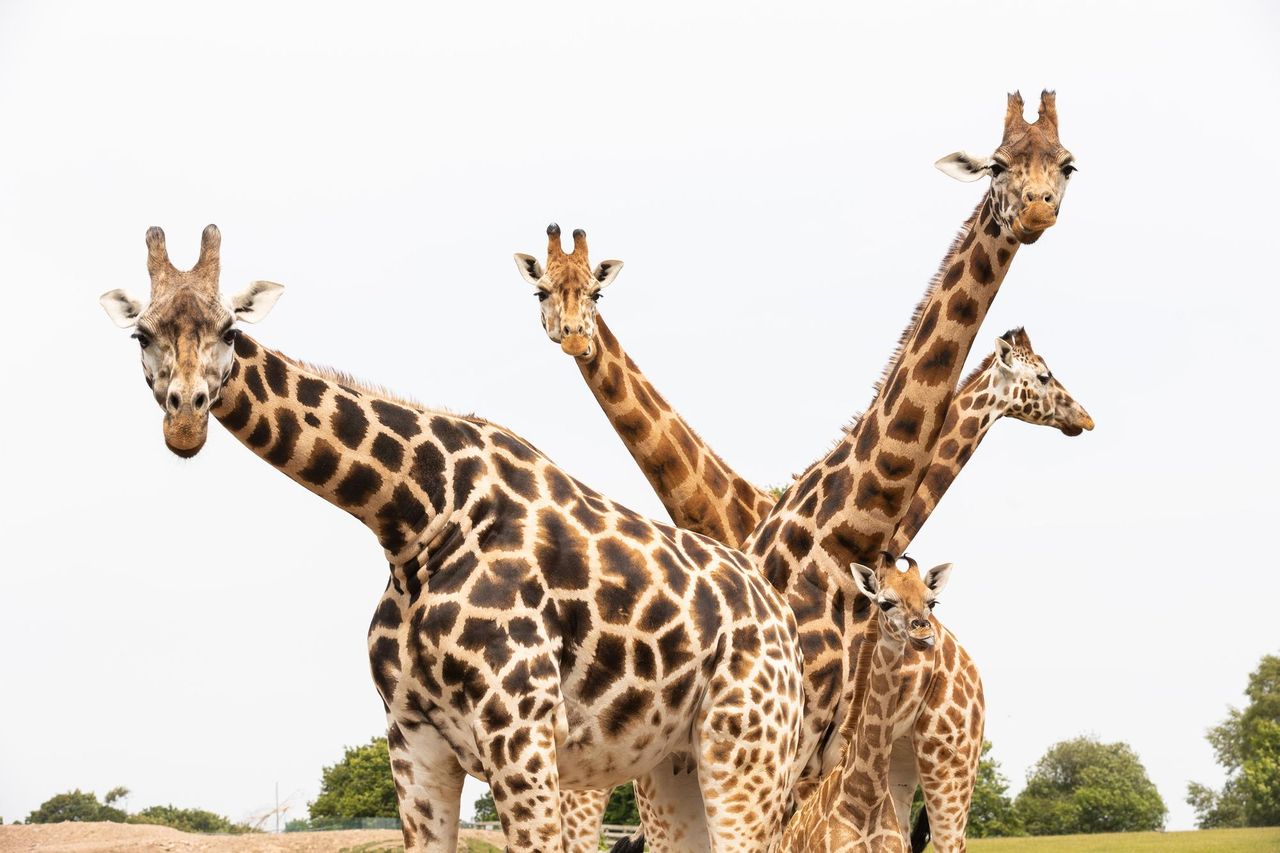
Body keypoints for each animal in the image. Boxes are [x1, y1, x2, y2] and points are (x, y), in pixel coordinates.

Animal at [97, 222, 808, 845]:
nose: (185, 422)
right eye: (141, 334)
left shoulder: (521, 734)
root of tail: (778, 616)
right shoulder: (413, 742)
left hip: (746, 750)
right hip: (672, 764)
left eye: (229, 329)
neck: (412, 521)